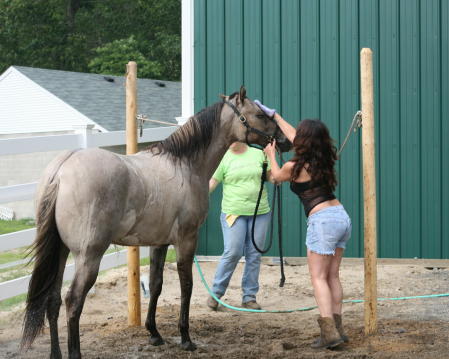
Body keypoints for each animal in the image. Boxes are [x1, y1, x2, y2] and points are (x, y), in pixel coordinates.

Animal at [21, 86, 288, 358]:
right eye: (259, 115)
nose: (284, 141)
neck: (185, 165)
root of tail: (62, 169)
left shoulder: (159, 243)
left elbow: (155, 285)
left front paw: (154, 334)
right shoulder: (186, 239)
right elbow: (186, 285)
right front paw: (185, 338)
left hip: (61, 251)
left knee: (52, 299)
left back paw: (55, 353)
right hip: (89, 255)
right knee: (73, 301)